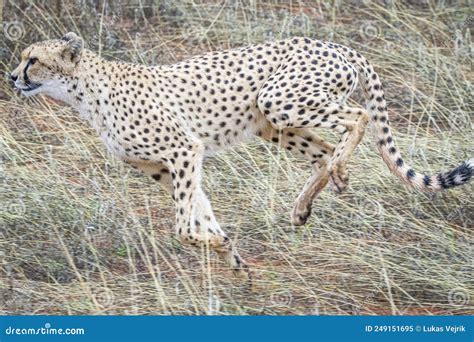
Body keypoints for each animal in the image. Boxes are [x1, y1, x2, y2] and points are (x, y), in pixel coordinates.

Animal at [11, 31, 474, 278]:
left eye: (32, 60)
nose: (13, 77)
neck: (85, 91)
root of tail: (333, 44)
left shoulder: (183, 150)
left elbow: (184, 225)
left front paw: (217, 246)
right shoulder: (164, 167)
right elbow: (201, 209)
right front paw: (230, 255)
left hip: (280, 100)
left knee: (357, 117)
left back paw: (339, 172)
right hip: (272, 123)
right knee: (324, 151)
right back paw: (311, 200)